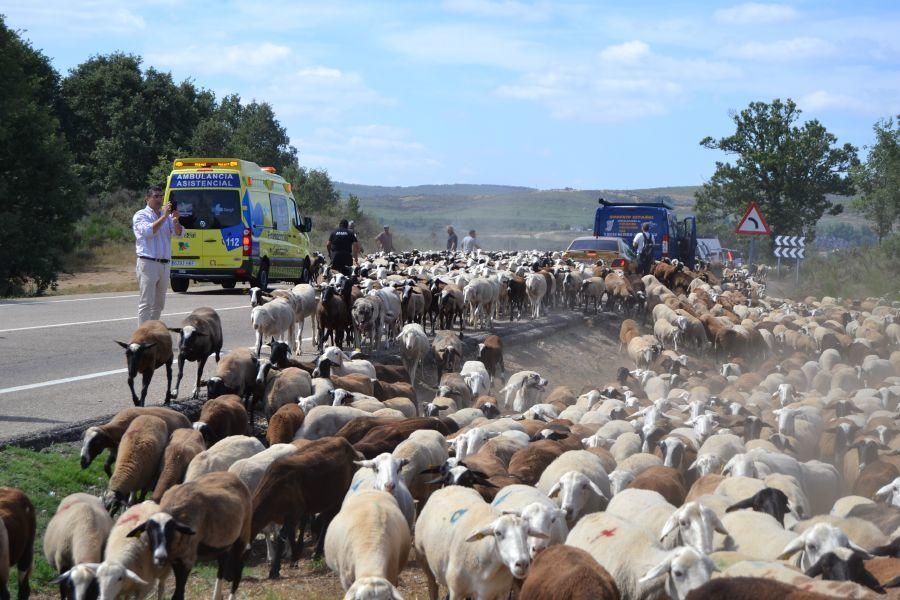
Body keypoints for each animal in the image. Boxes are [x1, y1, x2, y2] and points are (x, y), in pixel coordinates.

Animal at [125, 472, 251, 600]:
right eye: (149, 530)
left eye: (171, 530)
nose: (160, 556)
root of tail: (232, 475)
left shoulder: (187, 559)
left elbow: (178, 595)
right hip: (224, 541)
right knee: (222, 565)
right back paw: (217, 595)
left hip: (244, 532)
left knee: (238, 568)